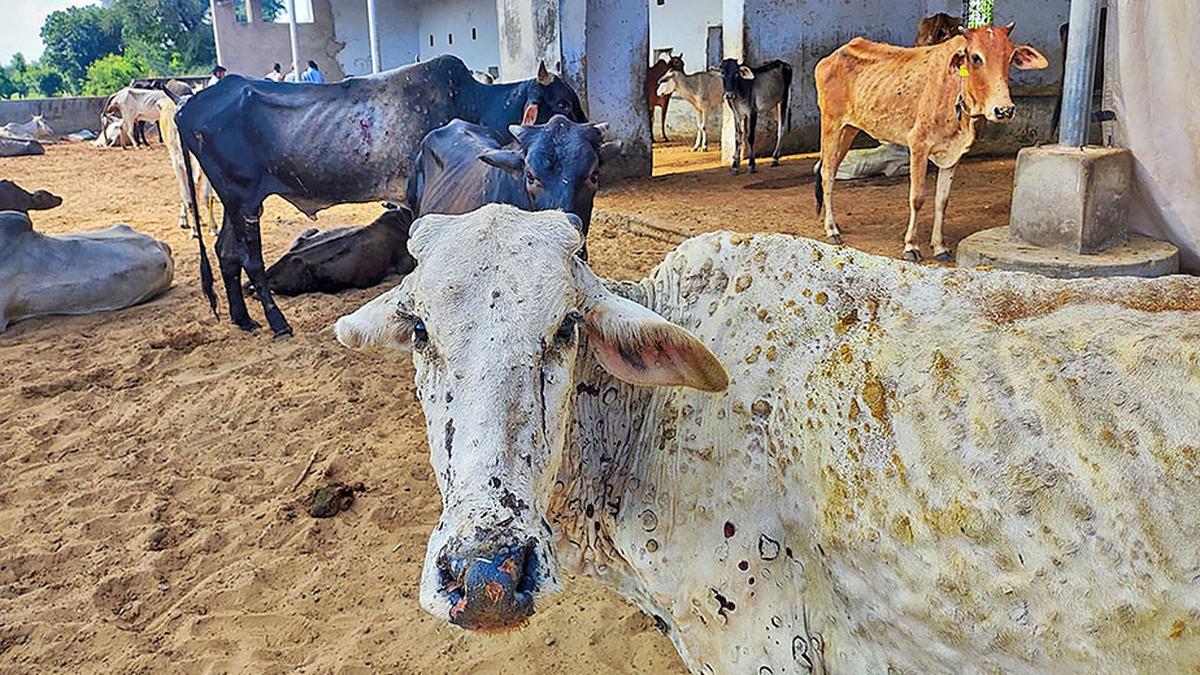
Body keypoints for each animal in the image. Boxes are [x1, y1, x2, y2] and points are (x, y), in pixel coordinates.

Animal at [156, 96, 219, 238]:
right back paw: (185, 219)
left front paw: (214, 228)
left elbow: (207, 198)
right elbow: (189, 199)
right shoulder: (178, 165)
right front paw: (195, 230)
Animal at [815, 24, 1048, 260]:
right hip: (831, 125)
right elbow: (917, 198)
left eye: (1010, 57)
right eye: (976, 57)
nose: (1004, 110)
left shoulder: (953, 154)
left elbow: (941, 201)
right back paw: (831, 229)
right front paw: (911, 246)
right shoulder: (918, 145)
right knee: (827, 174)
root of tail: (833, 56)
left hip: (849, 130)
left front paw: (940, 247)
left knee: (832, 170)